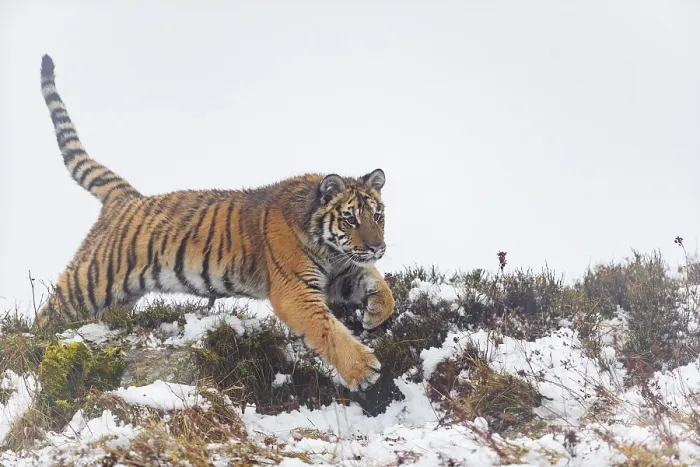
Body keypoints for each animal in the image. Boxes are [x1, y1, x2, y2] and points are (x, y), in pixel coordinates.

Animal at [35, 54, 396, 391]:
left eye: (377, 216)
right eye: (350, 219)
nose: (378, 246)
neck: (328, 247)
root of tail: (126, 197)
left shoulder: (342, 271)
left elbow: (379, 284)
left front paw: (375, 313)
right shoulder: (296, 291)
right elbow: (327, 330)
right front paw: (363, 369)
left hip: (117, 297)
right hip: (89, 283)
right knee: (47, 314)